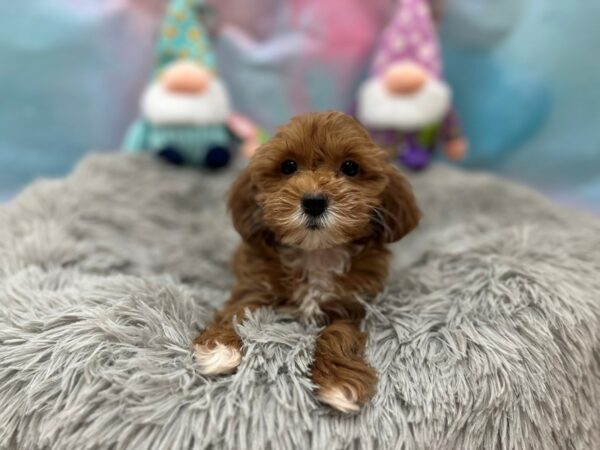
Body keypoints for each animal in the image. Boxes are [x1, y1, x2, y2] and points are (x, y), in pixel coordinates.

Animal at [195, 110, 420, 414]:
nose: (314, 202)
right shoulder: (255, 285)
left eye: (350, 168)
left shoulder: (352, 305)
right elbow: (236, 310)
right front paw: (219, 348)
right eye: (288, 166)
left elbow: (339, 334)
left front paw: (339, 381)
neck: (315, 252)